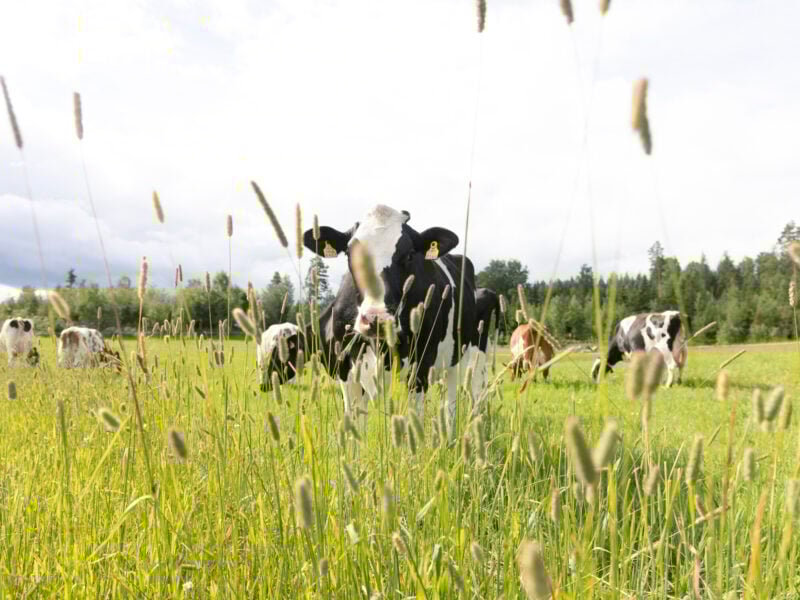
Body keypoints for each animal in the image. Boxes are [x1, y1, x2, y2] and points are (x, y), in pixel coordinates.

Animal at [303, 205, 482, 426]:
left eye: (409, 255)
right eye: (349, 254)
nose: (376, 319)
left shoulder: (421, 367)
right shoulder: (344, 368)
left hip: (461, 359)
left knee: (451, 407)